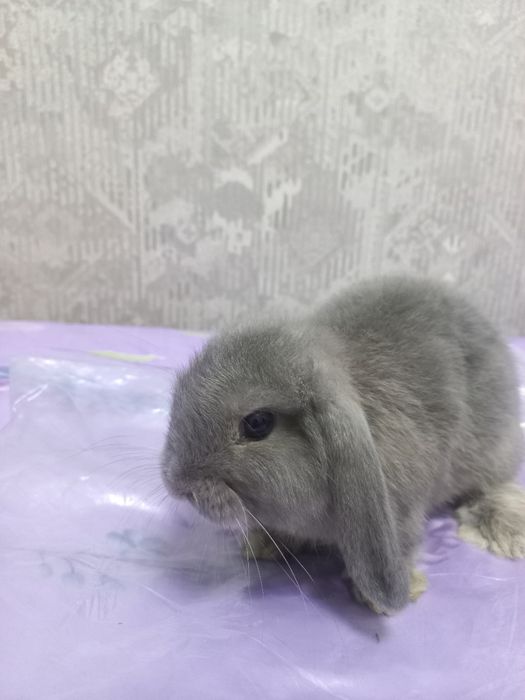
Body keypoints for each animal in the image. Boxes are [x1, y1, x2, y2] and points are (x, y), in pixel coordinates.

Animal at [161, 276, 525, 614]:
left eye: (257, 423)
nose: (177, 483)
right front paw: (262, 545)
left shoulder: (404, 512)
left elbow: (405, 543)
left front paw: (384, 598)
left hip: (494, 453)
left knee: (492, 487)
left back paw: (507, 532)